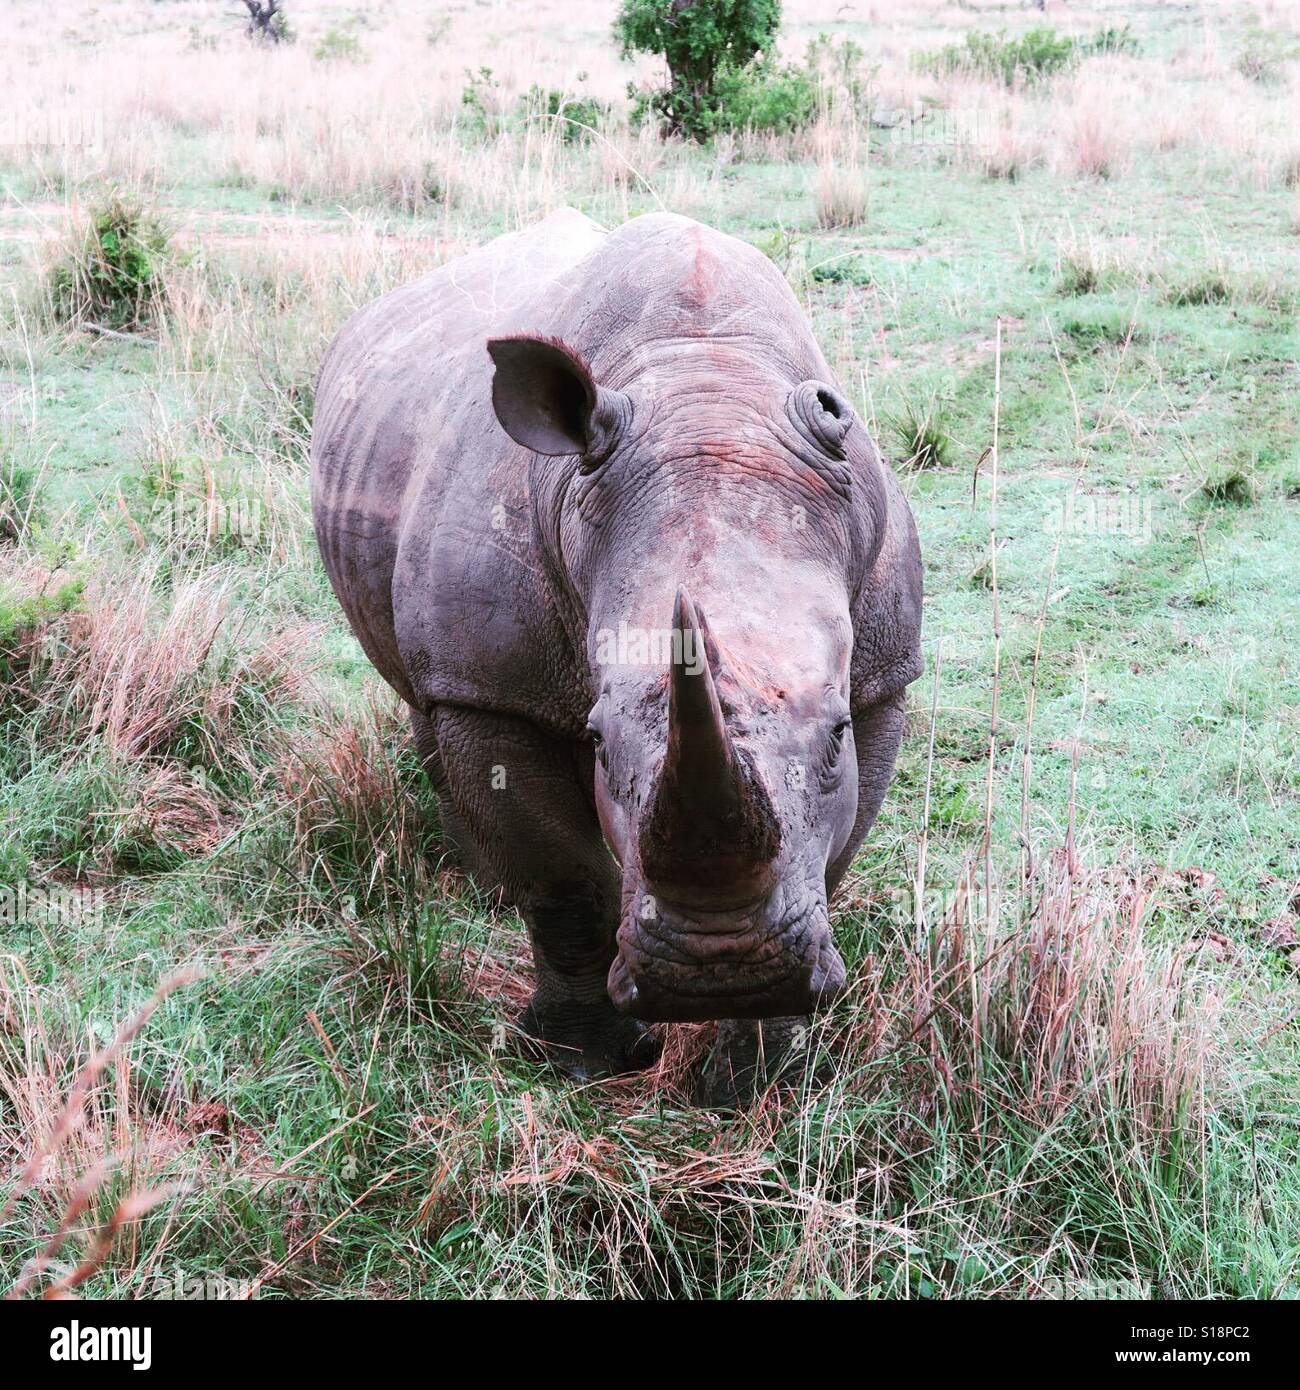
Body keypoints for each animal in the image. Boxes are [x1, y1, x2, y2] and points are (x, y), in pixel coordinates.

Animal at [314, 208, 923, 1095]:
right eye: (600, 741)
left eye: (837, 730)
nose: (720, 970)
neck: (708, 403)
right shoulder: (495, 684)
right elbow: (563, 881)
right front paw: (584, 1062)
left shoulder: (883, 675)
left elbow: (830, 855)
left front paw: (763, 1074)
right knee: (425, 693)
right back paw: (481, 889)